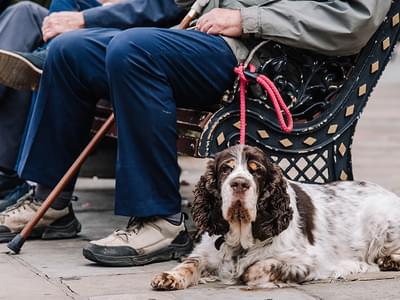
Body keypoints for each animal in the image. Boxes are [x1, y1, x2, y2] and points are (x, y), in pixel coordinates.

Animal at [151, 144, 400, 290]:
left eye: (256, 170)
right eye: (225, 169)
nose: (239, 183)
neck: (242, 235)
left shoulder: (309, 261)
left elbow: (255, 268)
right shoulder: (205, 252)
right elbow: (190, 264)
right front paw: (169, 277)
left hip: (382, 223)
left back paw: (390, 260)